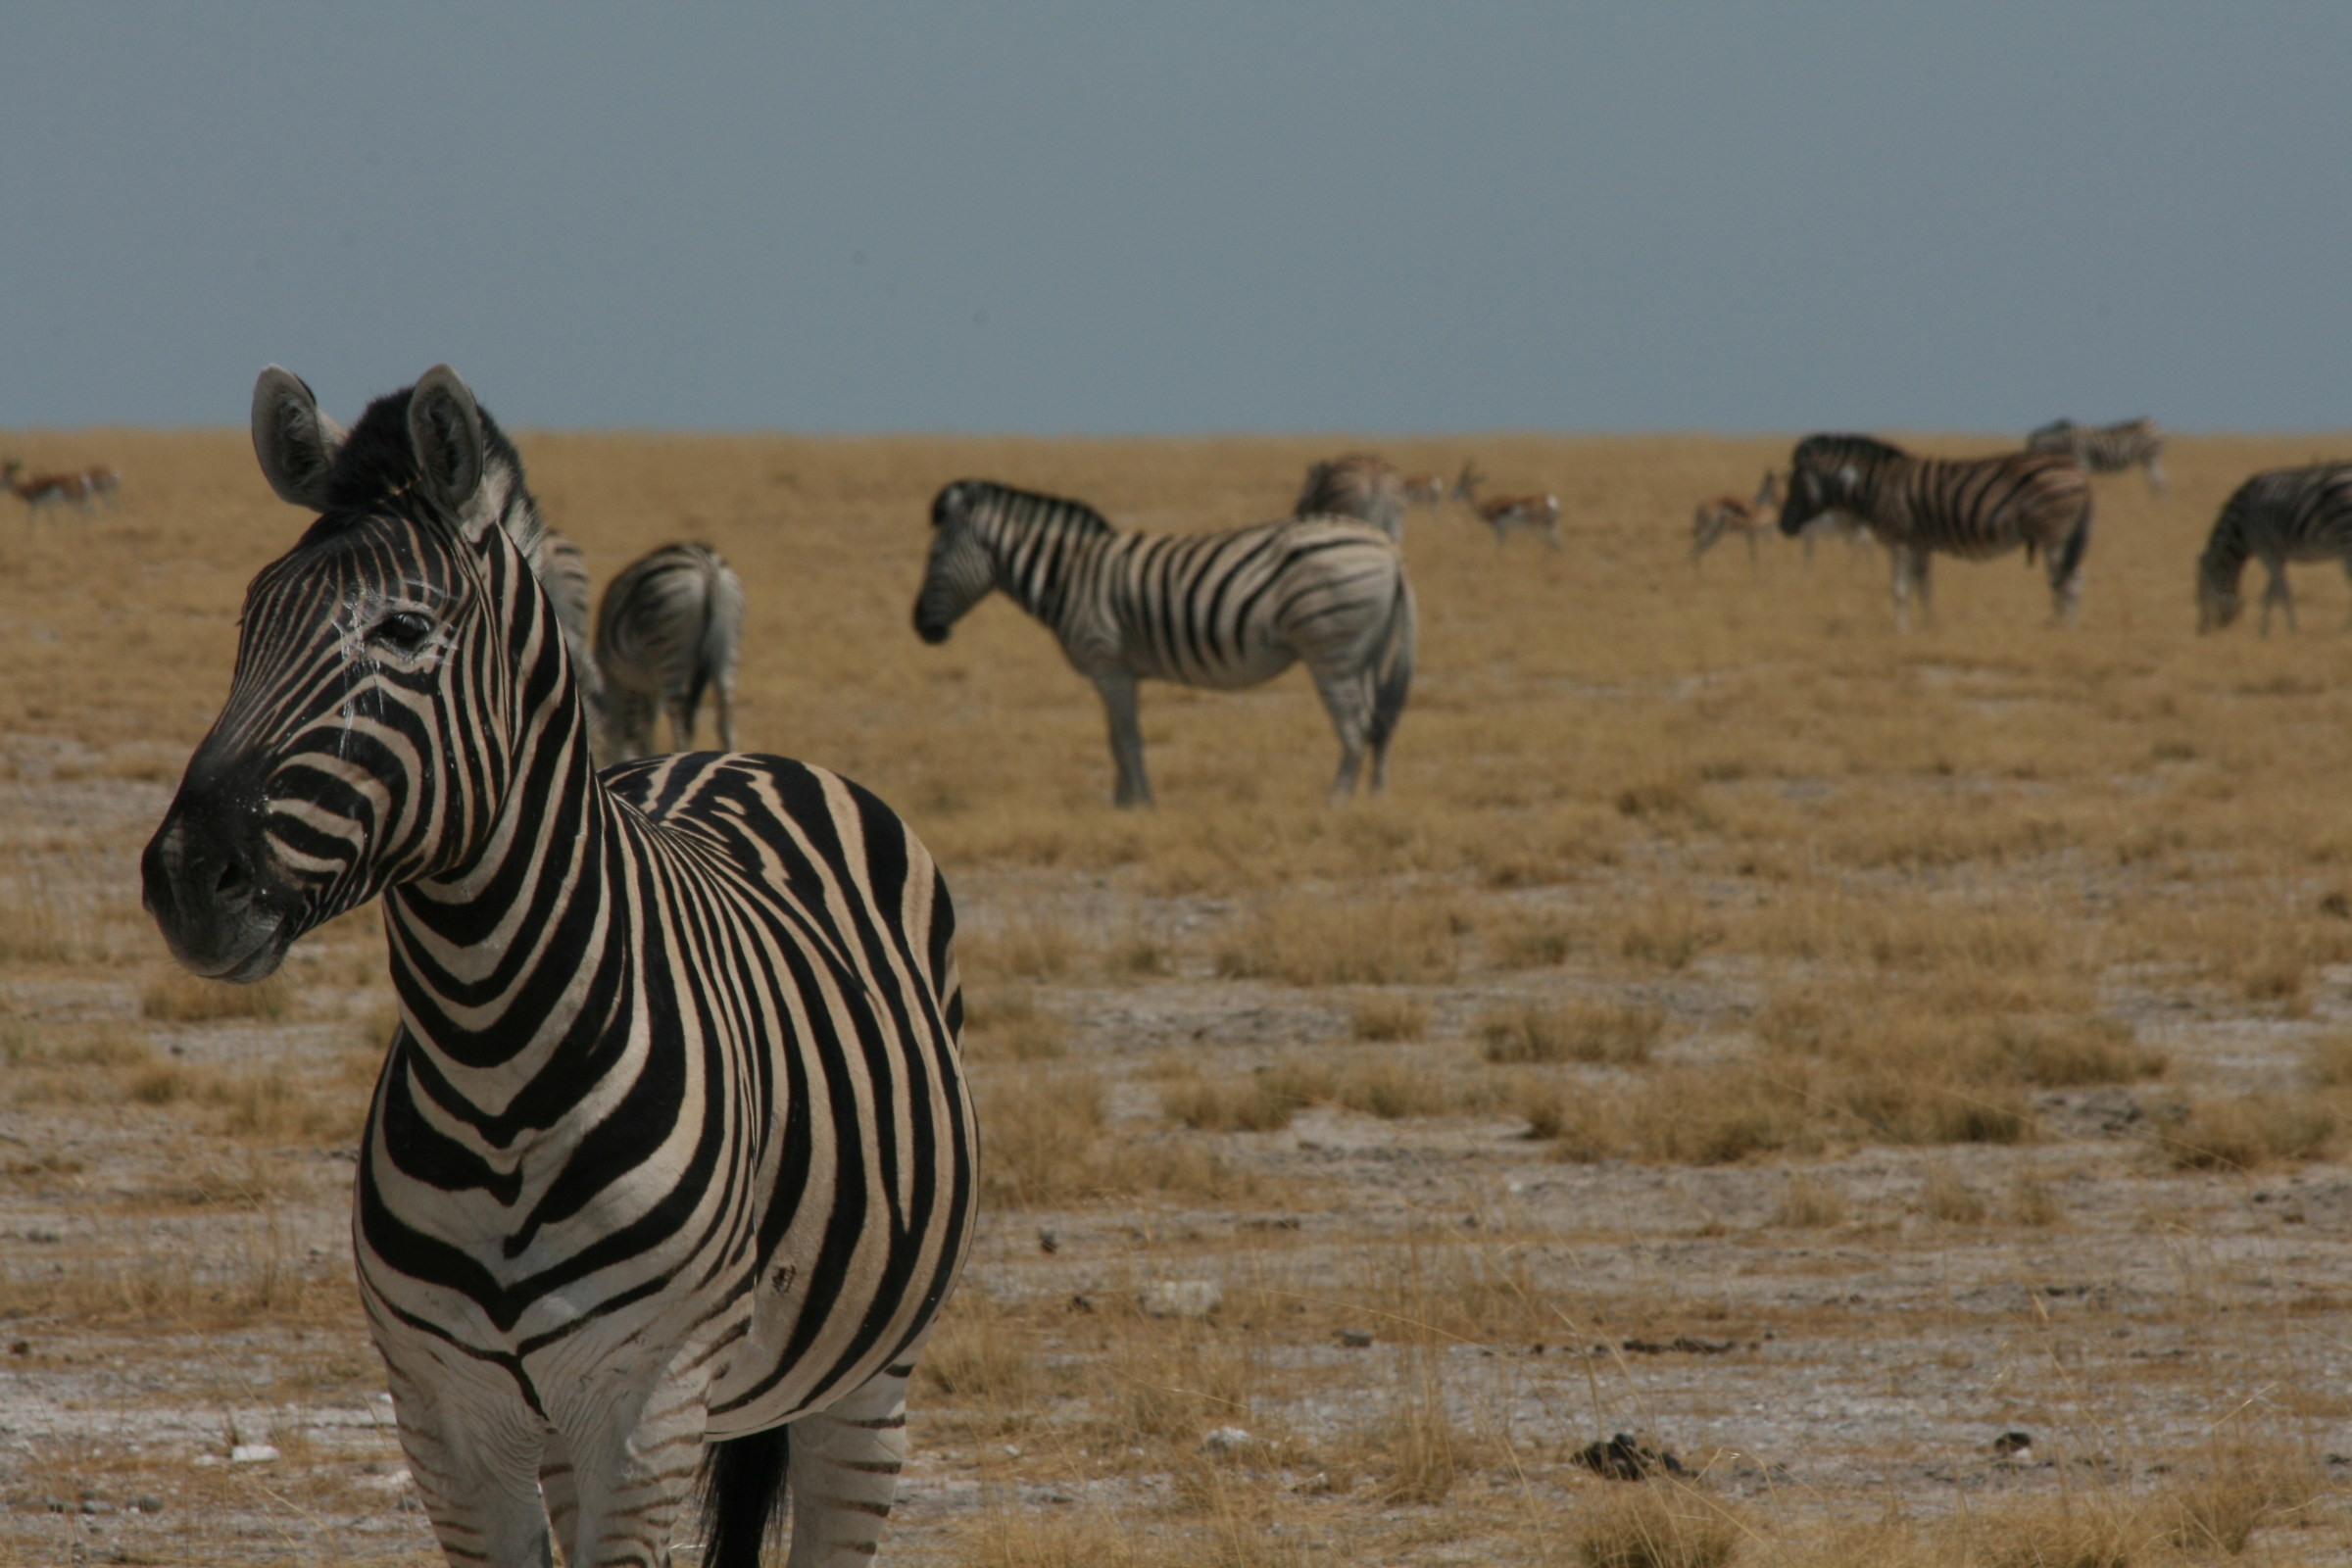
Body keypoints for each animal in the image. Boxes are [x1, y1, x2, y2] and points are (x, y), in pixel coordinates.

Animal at [595, 541, 746, 760]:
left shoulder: (624, 680)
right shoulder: (648, 687)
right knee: (726, 720)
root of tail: (707, 566)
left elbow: (629, 732)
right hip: (727, 647)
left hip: (668, 649)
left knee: (682, 725)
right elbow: (646, 726)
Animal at [912, 480, 1416, 807]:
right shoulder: (1117, 672)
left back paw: (1336, 805)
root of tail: (1387, 548)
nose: (920, 628)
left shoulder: (1107, 663)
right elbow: (1115, 737)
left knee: (1354, 729)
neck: (1068, 575)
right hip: (1363, 653)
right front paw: (1121, 804)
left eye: (934, 557)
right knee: (1380, 723)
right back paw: (1378, 800)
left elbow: (1127, 738)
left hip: (1330, 651)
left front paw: (1140, 804)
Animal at [1777, 434, 2093, 630]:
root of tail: (2078, 470)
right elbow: (1924, 587)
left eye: (1794, 484)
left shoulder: (1900, 538)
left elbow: (1900, 588)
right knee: (2072, 577)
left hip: (2054, 533)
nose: (1783, 525)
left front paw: (1900, 631)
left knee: (2065, 580)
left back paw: (2062, 627)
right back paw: (2068, 626)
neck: (1874, 486)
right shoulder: (1919, 542)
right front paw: (1929, 626)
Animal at [2028, 417, 2167, 493]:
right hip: (2148, 460)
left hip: (2151, 456)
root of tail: (2154, 425)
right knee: (2159, 482)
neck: (2065, 442)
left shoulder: (2083, 463)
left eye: (2031, 453)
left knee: (2160, 483)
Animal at [2194, 462, 2352, 634]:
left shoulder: (2265, 551)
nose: (2201, 632)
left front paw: (2290, 630)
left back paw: (2343, 631)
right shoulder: (2277, 554)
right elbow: (2271, 593)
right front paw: (2265, 631)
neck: (2241, 524)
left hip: (2345, 539)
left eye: (2202, 594)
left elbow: (2281, 592)